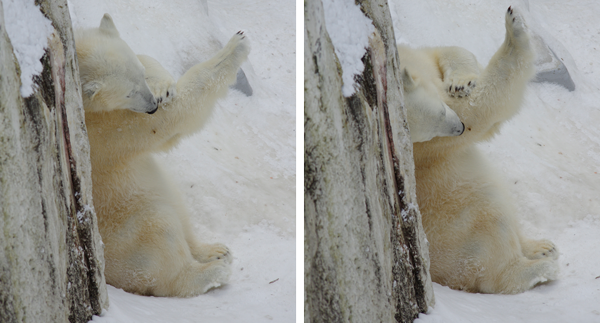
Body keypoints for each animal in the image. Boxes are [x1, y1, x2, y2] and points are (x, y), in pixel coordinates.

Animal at [75, 14, 251, 298]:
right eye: (127, 92)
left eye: (140, 75)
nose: (151, 105)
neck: (88, 109)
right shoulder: (108, 128)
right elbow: (172, 118)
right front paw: (236, 46)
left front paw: (162, 86)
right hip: (126, 234)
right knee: (160, 231)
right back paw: (211, 272)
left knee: (177, 205)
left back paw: (215, 251)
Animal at [398, 6, 556, 296]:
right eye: (428, 132)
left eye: (440, 111)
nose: (458, 128)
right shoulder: (427, 145)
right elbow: (479, 112)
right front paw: (515, 31)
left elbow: (446, 51)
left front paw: (461, 81)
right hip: (457, 229)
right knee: (491, 218)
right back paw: (537, 268)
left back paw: (541, 247)